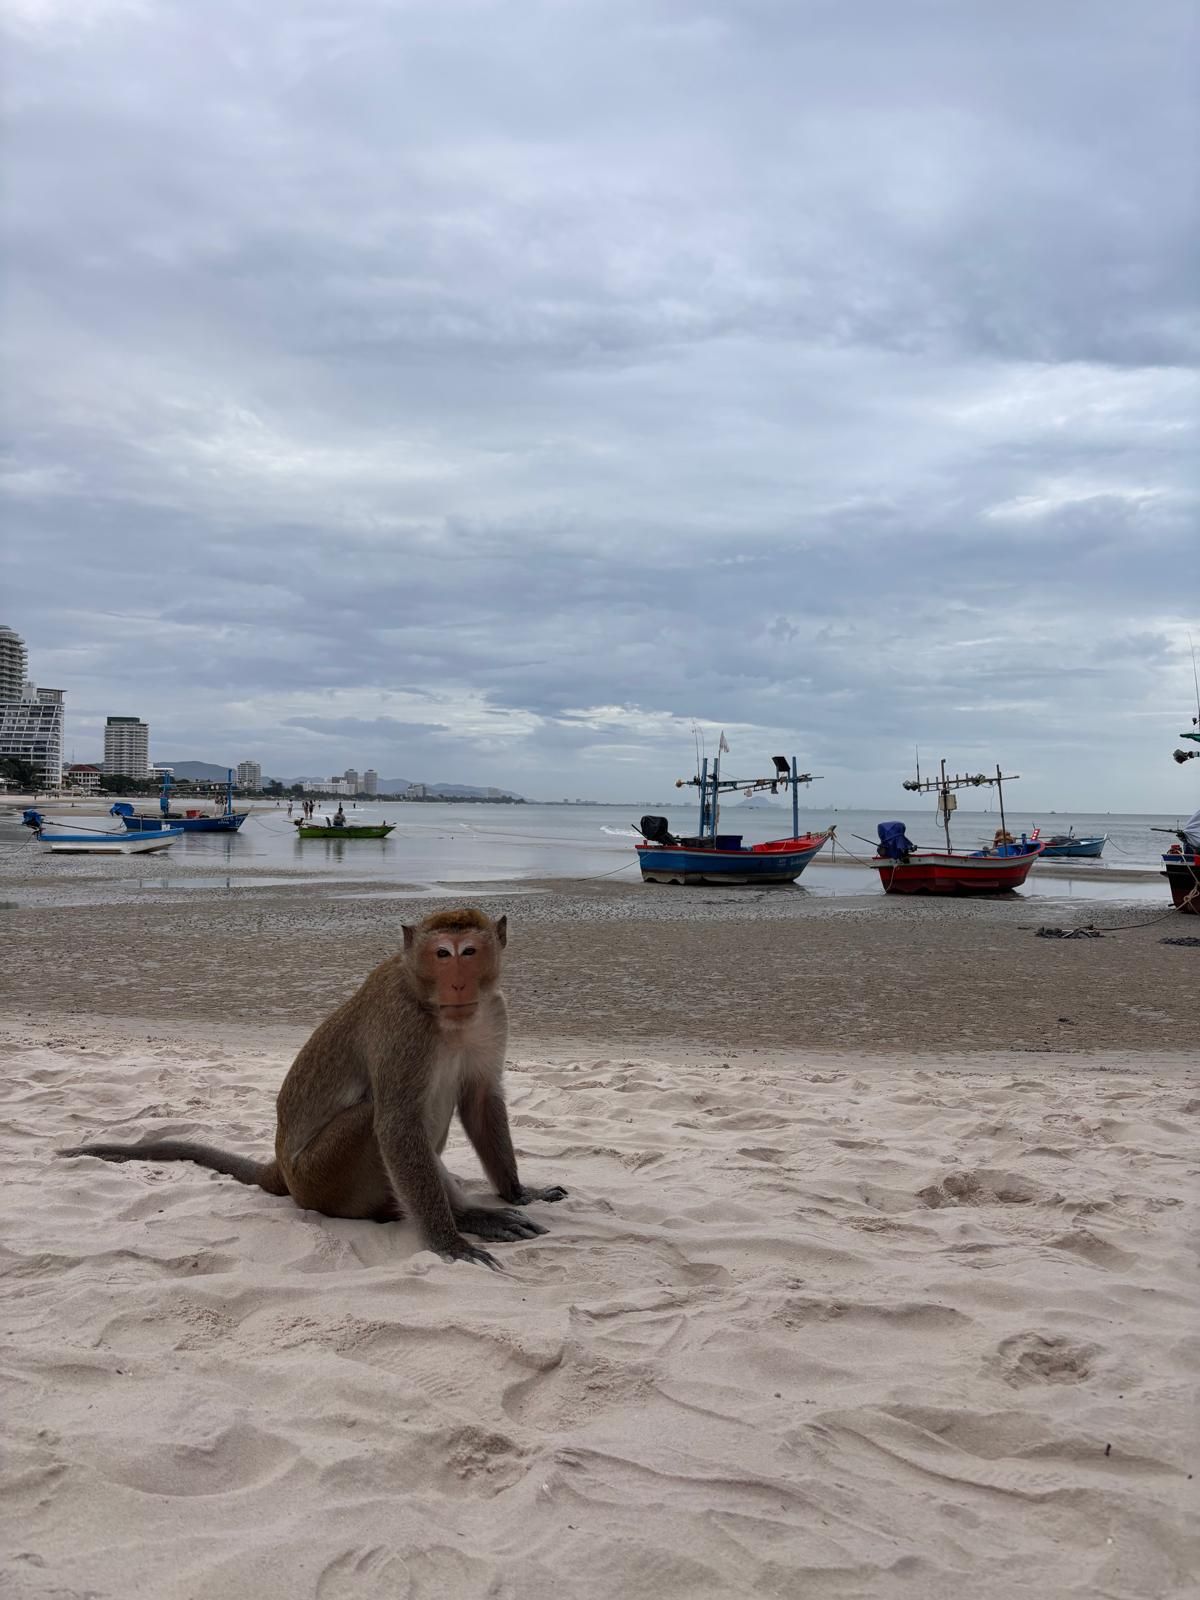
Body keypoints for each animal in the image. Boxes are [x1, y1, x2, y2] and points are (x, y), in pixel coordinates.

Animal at [59, 909, 566, 1269]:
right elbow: (396, 1125)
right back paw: (457, 1217)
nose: (458, 983)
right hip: (322, 1179)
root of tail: (283, 1171)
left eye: (470, 952)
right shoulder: (403, 1027)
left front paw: (518, 1193)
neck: (441, 1013)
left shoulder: (494, 1011)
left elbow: (480, 1100)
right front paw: (450, 1239)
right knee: (372, 1118)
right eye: (443, 954)